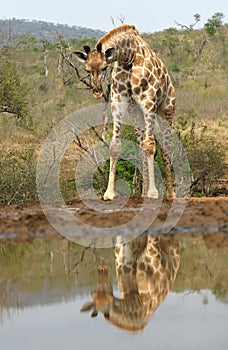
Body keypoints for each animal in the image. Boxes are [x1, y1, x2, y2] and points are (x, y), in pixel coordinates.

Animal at [74, 23, 175, 200]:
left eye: (104, 67)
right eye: (87, 69)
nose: (97, 91)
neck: (128, 56)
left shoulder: (148, 100)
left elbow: (150, 145)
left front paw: (153, 192)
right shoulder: (119, 100)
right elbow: (115, 145)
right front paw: (109, 193)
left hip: (166, 110)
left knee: (165, 148)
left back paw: (170, 194)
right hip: (137, 113)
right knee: (141, 146)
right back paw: (143, 193)